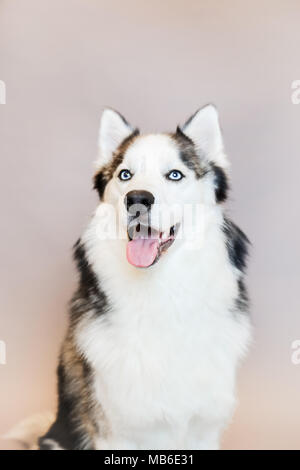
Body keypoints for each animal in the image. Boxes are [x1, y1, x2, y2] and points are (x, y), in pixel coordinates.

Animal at [38, 104, 252, 450]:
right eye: (125, 175)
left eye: (175, 174)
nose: (137, 199)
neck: (162, 292)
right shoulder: (114, 433)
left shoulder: (204, 429)